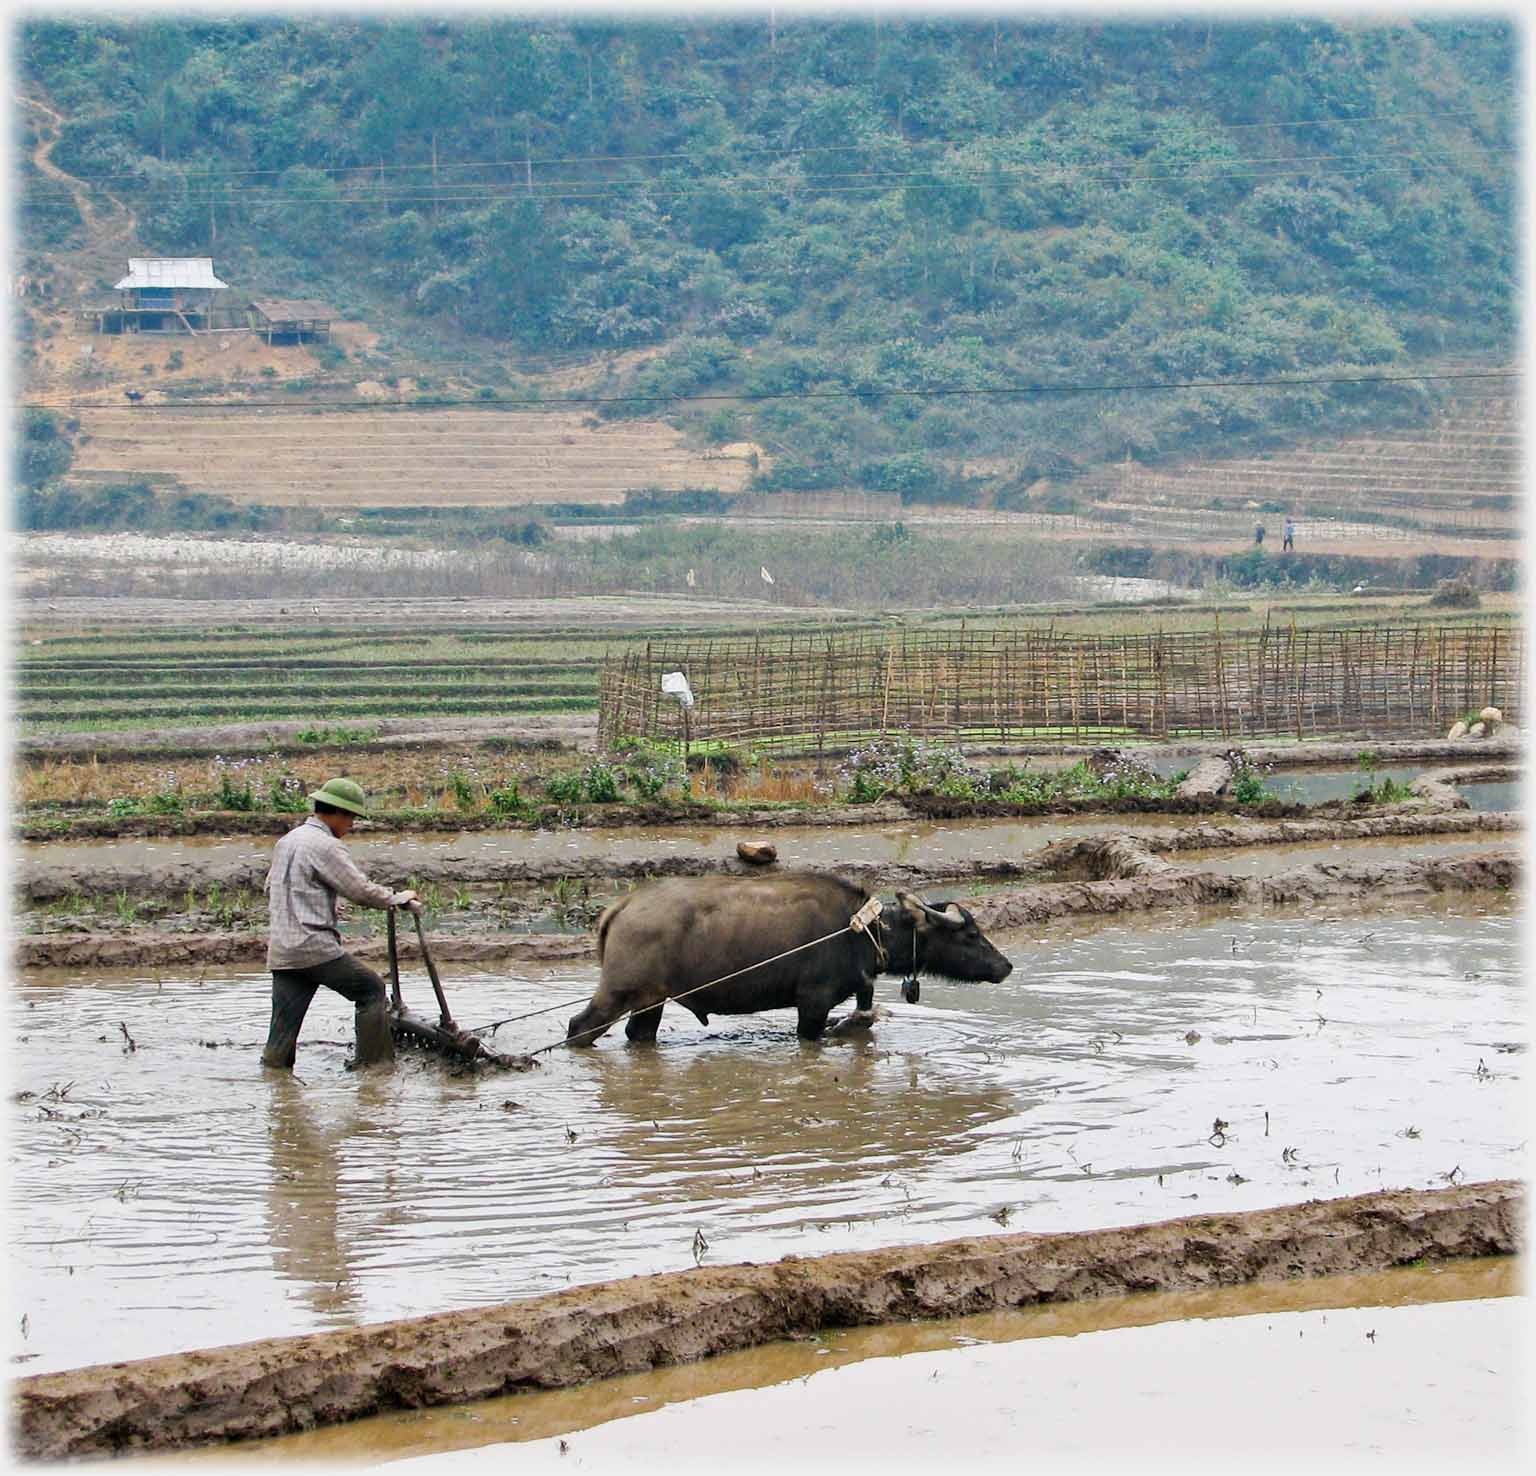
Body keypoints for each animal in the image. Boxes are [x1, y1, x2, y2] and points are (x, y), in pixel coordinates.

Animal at [571, 872, 1013, 1044]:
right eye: (971, 934)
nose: (1005, 966)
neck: (862, 931)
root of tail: (622, 907)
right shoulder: (812, 1004)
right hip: (617, 994)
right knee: (579, 1028)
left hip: (651, 1001)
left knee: (639, 1035)